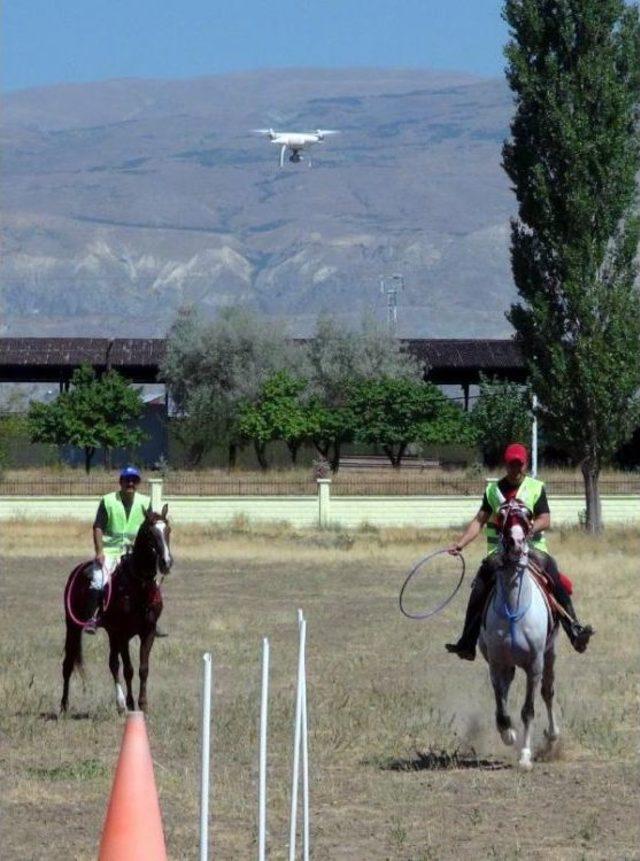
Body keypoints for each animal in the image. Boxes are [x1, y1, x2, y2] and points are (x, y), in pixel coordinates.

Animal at [61, 504, 172, 712]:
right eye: (150, 533)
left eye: (168, 530)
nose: (166, 563)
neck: (138, 586)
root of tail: (77, 571)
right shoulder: (123, 634)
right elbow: (128, 669)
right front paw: (131, 703)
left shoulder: (147, 632)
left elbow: (143, 669)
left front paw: (142, 703)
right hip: (73, 627)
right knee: (68, 664)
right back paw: (64, 706)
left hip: (111, 633)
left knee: (112, 664)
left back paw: (119, 704)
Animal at [480, 500, 560, 768]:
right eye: (502, 513)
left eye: (527, 514)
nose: (515, 541)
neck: (514, 608)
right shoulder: (496, 663)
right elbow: (500, 706)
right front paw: (508, 734)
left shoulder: (534, 664)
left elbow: (528, 710)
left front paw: (525, 756)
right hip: (507, 665)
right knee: (505, 692)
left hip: (549, 655)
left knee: (548, 692)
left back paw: (552, 736)